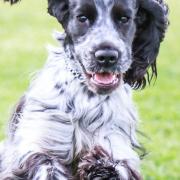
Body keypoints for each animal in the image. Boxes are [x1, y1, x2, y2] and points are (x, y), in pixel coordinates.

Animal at [0, 0, 169, 179]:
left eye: (124, 18)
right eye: (82, 18)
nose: (107, 56)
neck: (87, 97)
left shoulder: (115, 142)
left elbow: (113, 165)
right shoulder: (43, 144)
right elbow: (46, 166)